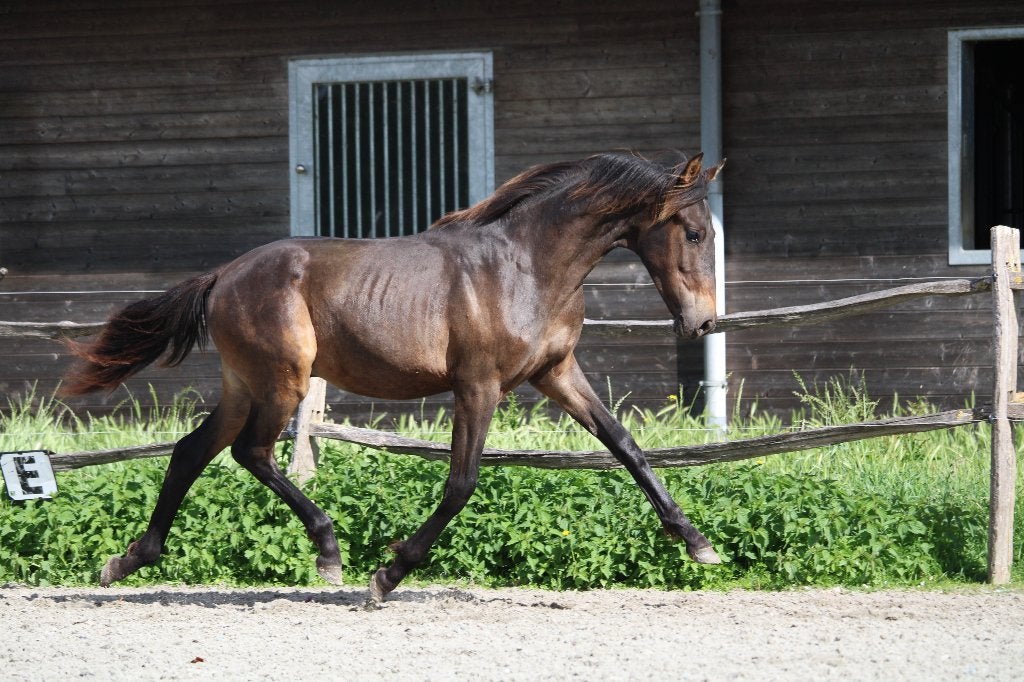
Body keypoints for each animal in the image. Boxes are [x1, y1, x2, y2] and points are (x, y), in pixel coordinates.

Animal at [62, 150, 725, 603]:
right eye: (693, 233)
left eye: (712, 233)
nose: (703, 323)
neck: (527, 268)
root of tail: (223, 274)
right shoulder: (478, 386)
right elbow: (461, 483)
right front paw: (388, 573)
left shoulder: (557, 373)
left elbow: (626, 446)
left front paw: (698, 543)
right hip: (282, 379)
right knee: (251, 452)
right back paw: (329, 551)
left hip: (244, 383)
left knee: (190, 451)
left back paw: (127, 561)